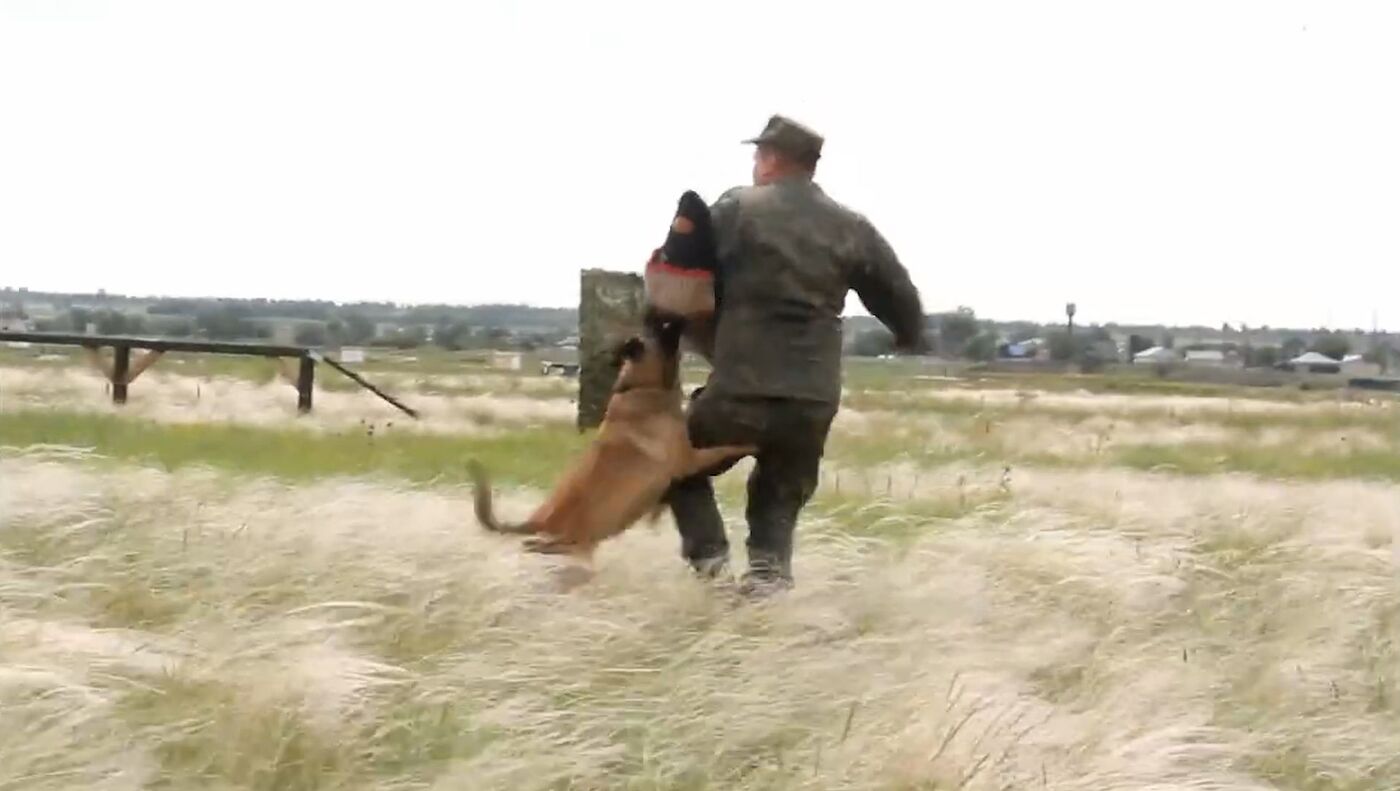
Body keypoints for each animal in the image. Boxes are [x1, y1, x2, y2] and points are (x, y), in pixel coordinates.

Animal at [468, 320, 756, 574]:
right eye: (661, 331)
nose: (676, 319)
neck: (641, 386)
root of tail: (541, 519)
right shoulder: (689, 459)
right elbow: (727, 448)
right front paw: (750, 446)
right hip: (577, 544)